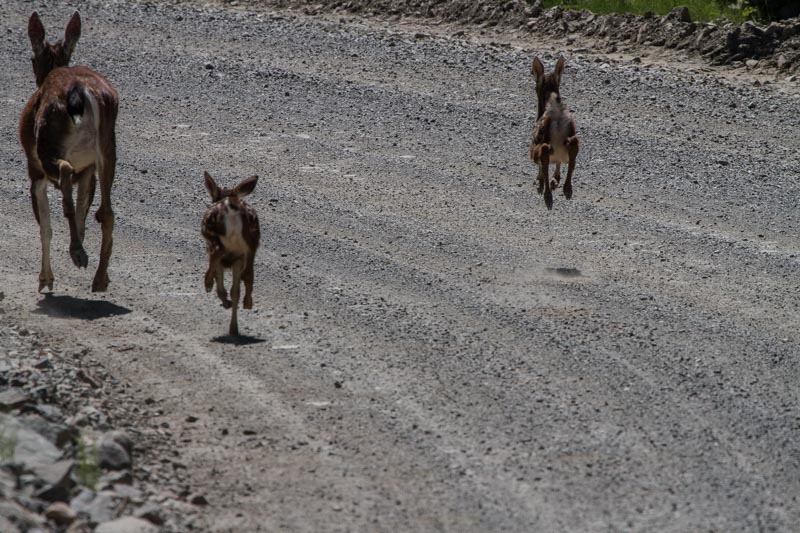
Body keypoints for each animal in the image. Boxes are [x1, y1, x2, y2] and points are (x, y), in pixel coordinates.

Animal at [19, 12, 119, 294]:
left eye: (32, 58)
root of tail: (79, 91)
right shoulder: (88, 170)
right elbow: (84, 211)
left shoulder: (34, 171)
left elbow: (45, 227)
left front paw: (45, 279)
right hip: (107, 148)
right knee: (107, 211)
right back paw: (99, 277)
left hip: (46, 147)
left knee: (64, 173)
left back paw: (78, 254)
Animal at [528, 55, 580, 210]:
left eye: (535, 85)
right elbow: (558, 162)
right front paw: (555, 180)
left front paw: (541, 182)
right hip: (572, 138)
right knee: (572, 157)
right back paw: (567, 188)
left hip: (537, 148)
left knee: (544, 159)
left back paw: (547, 195)